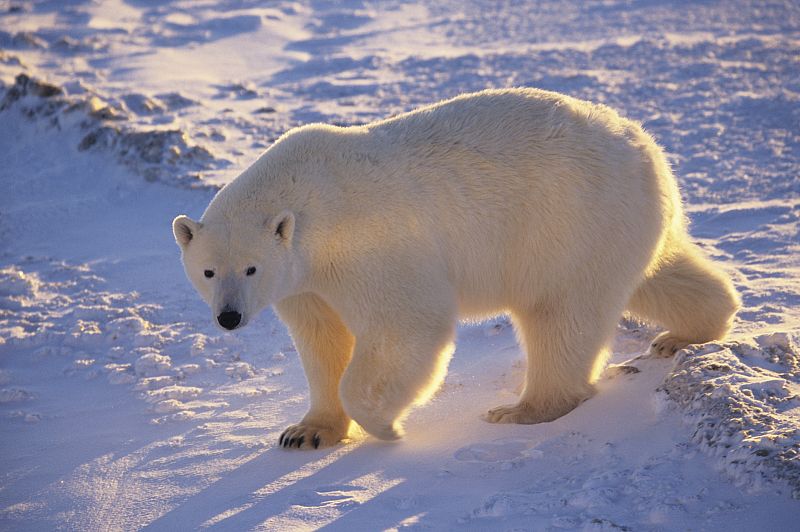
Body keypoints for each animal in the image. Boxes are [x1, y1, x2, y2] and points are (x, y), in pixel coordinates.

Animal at [173, 88, 740, 449]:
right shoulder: (304, 283)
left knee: (560, 315)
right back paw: (689, 330)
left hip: (566, 221)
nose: (228, 318)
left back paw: (523, 408)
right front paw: (306, 431)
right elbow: (321, 340)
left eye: (250, 269)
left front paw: (385, 427)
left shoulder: (369, 243)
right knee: (655, 275)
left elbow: (406, 324)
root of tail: (647, 149)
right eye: (208, 272)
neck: (309, 198)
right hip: (615, 224)